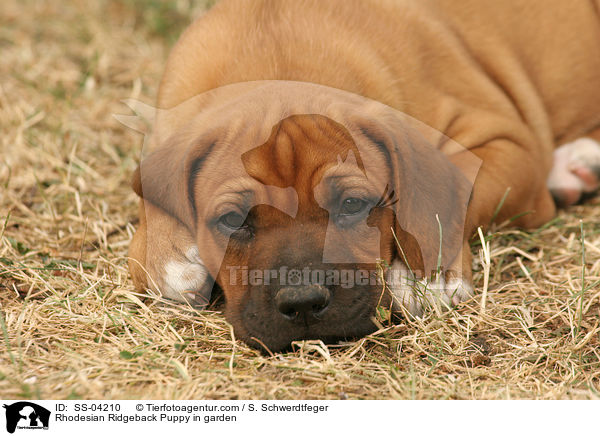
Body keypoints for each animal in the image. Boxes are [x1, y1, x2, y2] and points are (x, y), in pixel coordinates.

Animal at [130, 0, 600, 350]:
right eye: (231, 220)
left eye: (353, 205)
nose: (303, 303)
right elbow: (150, 190)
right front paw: (169, 254)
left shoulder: (506, 140)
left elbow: (448, 196)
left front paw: (426, 273)